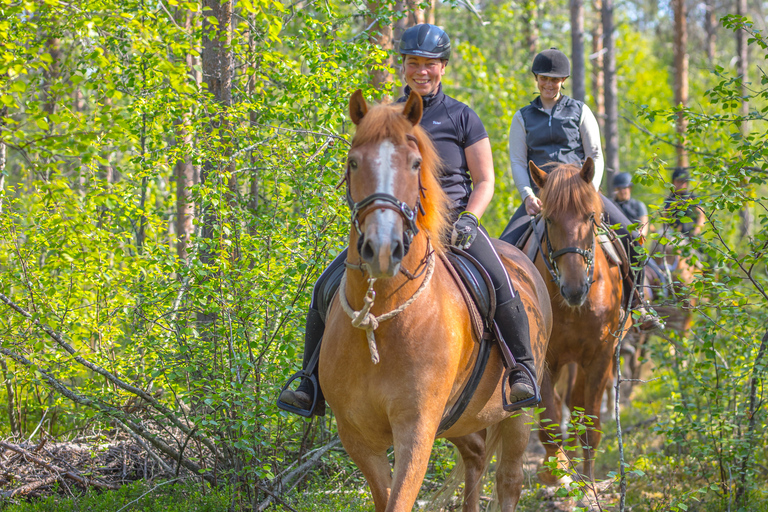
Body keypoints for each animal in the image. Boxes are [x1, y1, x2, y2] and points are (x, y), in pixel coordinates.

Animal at [319, 90, 552, 512]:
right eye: (353, 161)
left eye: (415, 164)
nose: (382, 248)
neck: (383, 319)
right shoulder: (358, 437)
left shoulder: (416, 429)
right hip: (462, 418)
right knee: (475, 458)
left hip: (518, 413)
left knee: (508, 481)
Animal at [522, 160, 624, 483]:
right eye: (549, 218)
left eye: (589, 216)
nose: (575, 288)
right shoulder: (544, 358)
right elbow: (551, 421)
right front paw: (556, 472)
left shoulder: (600, 354)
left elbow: (590, 420)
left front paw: (589, 480)